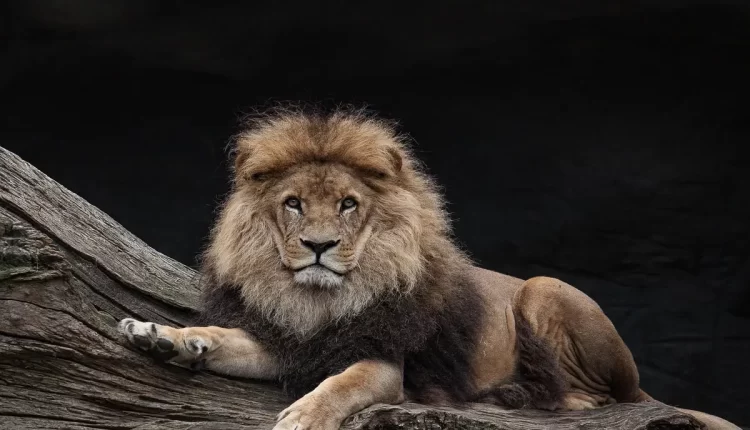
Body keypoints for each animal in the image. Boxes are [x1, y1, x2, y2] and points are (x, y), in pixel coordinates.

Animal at [118, 108, 739, 430]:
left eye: (348, 204)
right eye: (293, 203)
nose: (318, 245)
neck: (320, 300)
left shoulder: (383, 362)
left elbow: (341, 384)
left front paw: (302, 417)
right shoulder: (294, 343)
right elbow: (223, 336)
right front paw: (163, 336)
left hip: (545, 291)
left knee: (602, 399)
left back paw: (518, 397)